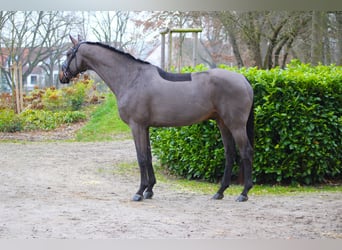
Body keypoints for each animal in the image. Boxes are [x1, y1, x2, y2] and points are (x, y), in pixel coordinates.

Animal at [59, 35, 254, 202]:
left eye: (68, 53)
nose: (61, 76)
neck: (132, 78)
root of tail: (243, 79)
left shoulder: (136, 126)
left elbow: (141, 157)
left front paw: (139, 192)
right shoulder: (145, 127)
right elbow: (149, 156)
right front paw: (149, 190)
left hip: (236, 125)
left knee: (246, 152)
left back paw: (243, 193)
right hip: (223, 123)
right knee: (230, 154)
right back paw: (220, 192)